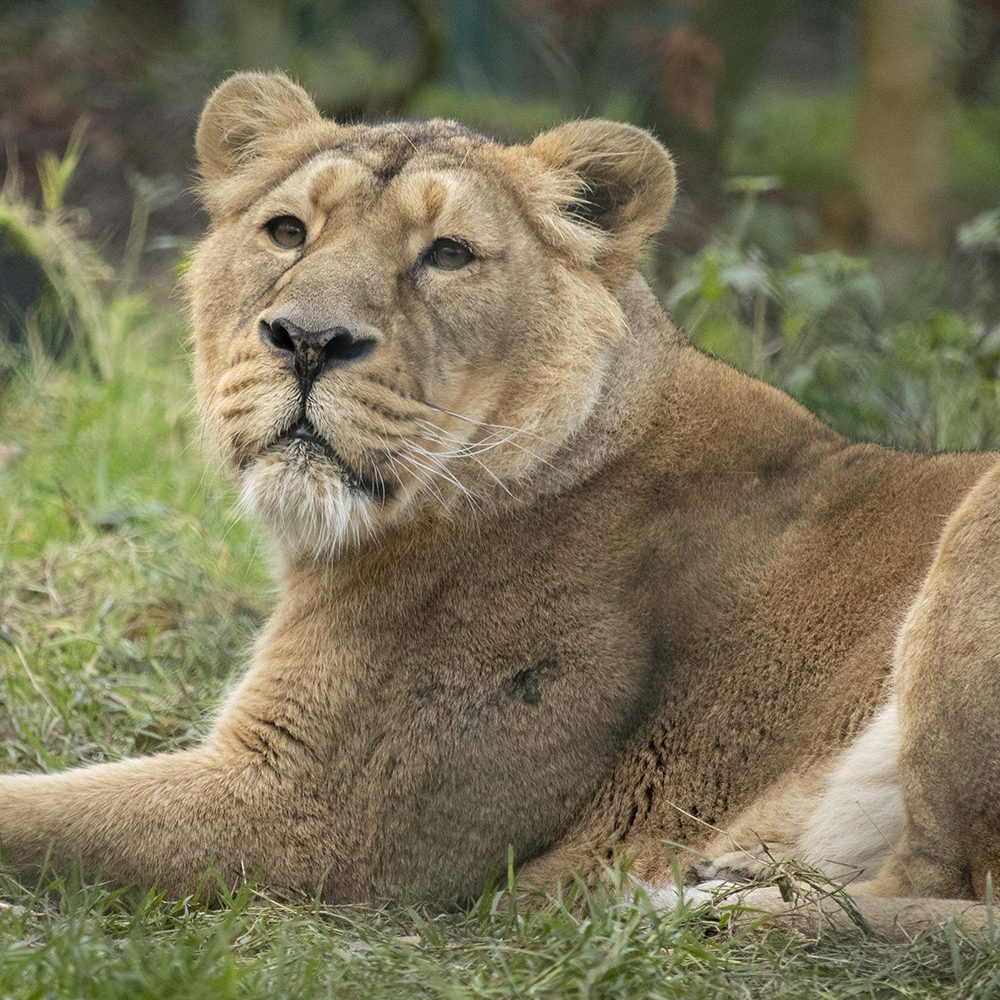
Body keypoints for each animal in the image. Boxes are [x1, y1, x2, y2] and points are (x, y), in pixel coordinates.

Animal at [1, 72, 1000, 936]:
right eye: (285, 232)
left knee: (926, 891)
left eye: (448, 255)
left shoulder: (311, 814)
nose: (307, 339)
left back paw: (690, 903)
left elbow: (31, 820)